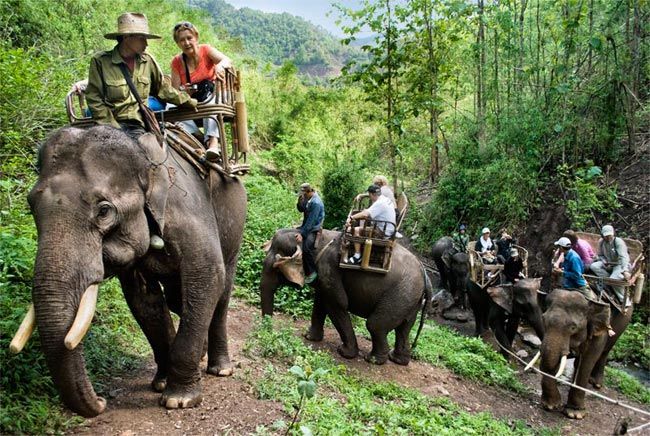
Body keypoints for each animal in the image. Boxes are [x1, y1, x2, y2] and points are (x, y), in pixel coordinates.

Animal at [16, 126, 246, 417]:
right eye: (31, 206)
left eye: (104, 211)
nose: (101, 401)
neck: (141, 151)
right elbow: (144, 301)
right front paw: (161, 384)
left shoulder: (189, 215)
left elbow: (207, 277)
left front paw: (179, 399)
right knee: (178, 299)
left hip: (235, 225)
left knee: (221, 294)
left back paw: (220, 369)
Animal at [261, 228, 431, 365]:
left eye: (276, 267)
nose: (269, 330)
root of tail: (425, 274)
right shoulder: (324, 278)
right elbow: (320, 302)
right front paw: (309, 337)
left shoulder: (329, 268)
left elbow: (337, 304)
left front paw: (344, 352)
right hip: (410, 298)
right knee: (404, 328)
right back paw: (397, 359)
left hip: (401, 293)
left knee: (375, 325)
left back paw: (373, 360)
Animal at [537, 289, 632, 419]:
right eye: (543, 319)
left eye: (573, 327)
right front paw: (551, 406)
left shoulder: (598, 332)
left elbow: (588, 361)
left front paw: (574, 414)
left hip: (624, 322)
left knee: (605, 351)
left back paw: (596, 384)